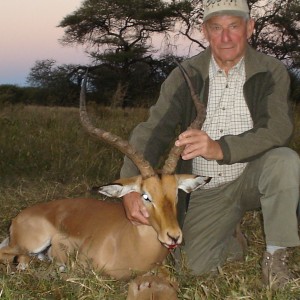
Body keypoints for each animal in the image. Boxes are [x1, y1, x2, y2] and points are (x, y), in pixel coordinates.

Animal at [0, 62, 207, 282]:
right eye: (145, 196)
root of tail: (18, 217)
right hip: (31, 243)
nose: (174, 236)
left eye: (175, 193)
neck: (131, 242)